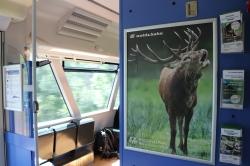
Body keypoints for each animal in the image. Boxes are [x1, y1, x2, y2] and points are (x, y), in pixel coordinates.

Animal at [128, 27, 210, 156]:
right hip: (167, 105)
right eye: (186, 58)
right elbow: (173, 129)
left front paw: (185, 150)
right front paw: (172, 149)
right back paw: (174, 145)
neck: (186, 95)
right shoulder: (171, 107)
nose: (203, 51)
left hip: (181, 110)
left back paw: (180, 145)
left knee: (180, 122)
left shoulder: (191, 108)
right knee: (175, 124)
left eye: (195, 51)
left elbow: (186, 129)